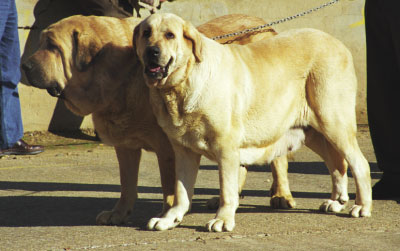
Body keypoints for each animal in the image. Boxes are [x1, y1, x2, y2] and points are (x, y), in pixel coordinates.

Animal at [22, 14, 278, 225]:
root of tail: (267, 25)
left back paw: (280, 195)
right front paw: (119, 213)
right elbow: (127, 184)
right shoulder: (125, 147)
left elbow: (170, 187)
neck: (121, 75)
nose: (24, 65)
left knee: (277, 159)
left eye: (52, 46)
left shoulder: (168, 149)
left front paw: (168, 214)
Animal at [134, 12, 372, 232]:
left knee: (359, 164)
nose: (152, 51)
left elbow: (227, 189)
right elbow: (182, 191)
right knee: (337, 165)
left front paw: (222, 219)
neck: (180, 85)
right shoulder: (183, 151)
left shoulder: (226, 148)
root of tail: (338, 44)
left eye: (170, 35)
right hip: (313, 132)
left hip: (333, 122)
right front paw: (170, 218)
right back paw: (336, 201)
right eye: (146, 33)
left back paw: (362, 206)